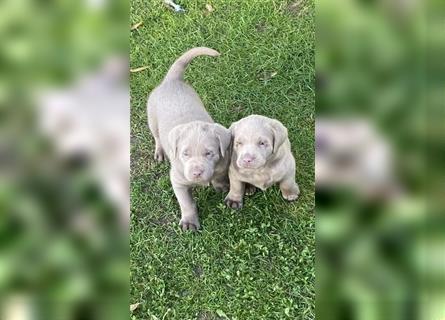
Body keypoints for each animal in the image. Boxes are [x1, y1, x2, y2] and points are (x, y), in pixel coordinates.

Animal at [147, 47, 231, 230]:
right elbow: (187, 203)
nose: (196, 173)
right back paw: (160, 152)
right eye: (185, 154)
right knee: (157, 137)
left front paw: (221, 186)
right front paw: (189, 222)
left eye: (209, 153)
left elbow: (219, 176)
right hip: (152, 117)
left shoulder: (222, 163)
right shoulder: (178, 180)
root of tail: (171, 80)